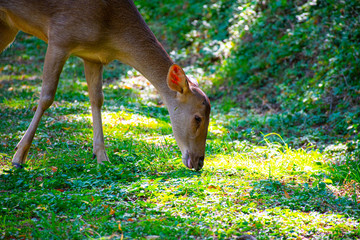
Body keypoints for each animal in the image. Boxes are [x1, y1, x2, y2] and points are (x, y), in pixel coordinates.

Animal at [0, 0, 211, 172]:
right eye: (198, 118)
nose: (199, 161)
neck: (110, 33)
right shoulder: (60, 36)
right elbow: (46, 97)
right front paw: (18, 157)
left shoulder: (93, 56)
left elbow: (97, 99)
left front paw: (101, 157)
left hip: (8, 28)